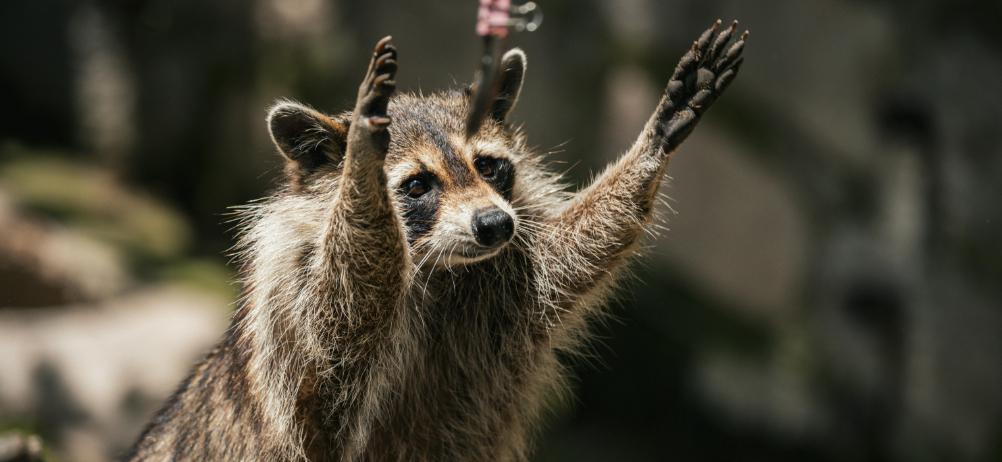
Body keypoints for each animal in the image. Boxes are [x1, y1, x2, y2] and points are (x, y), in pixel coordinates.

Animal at [128, 21, 747, 462]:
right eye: (416, 185)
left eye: (489, 165)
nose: (494, 226)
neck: (438, 270)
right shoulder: (294, 326)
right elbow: (334, 335)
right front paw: (361, 158)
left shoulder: (502, 288)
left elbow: (565, 261)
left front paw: (649, 146)